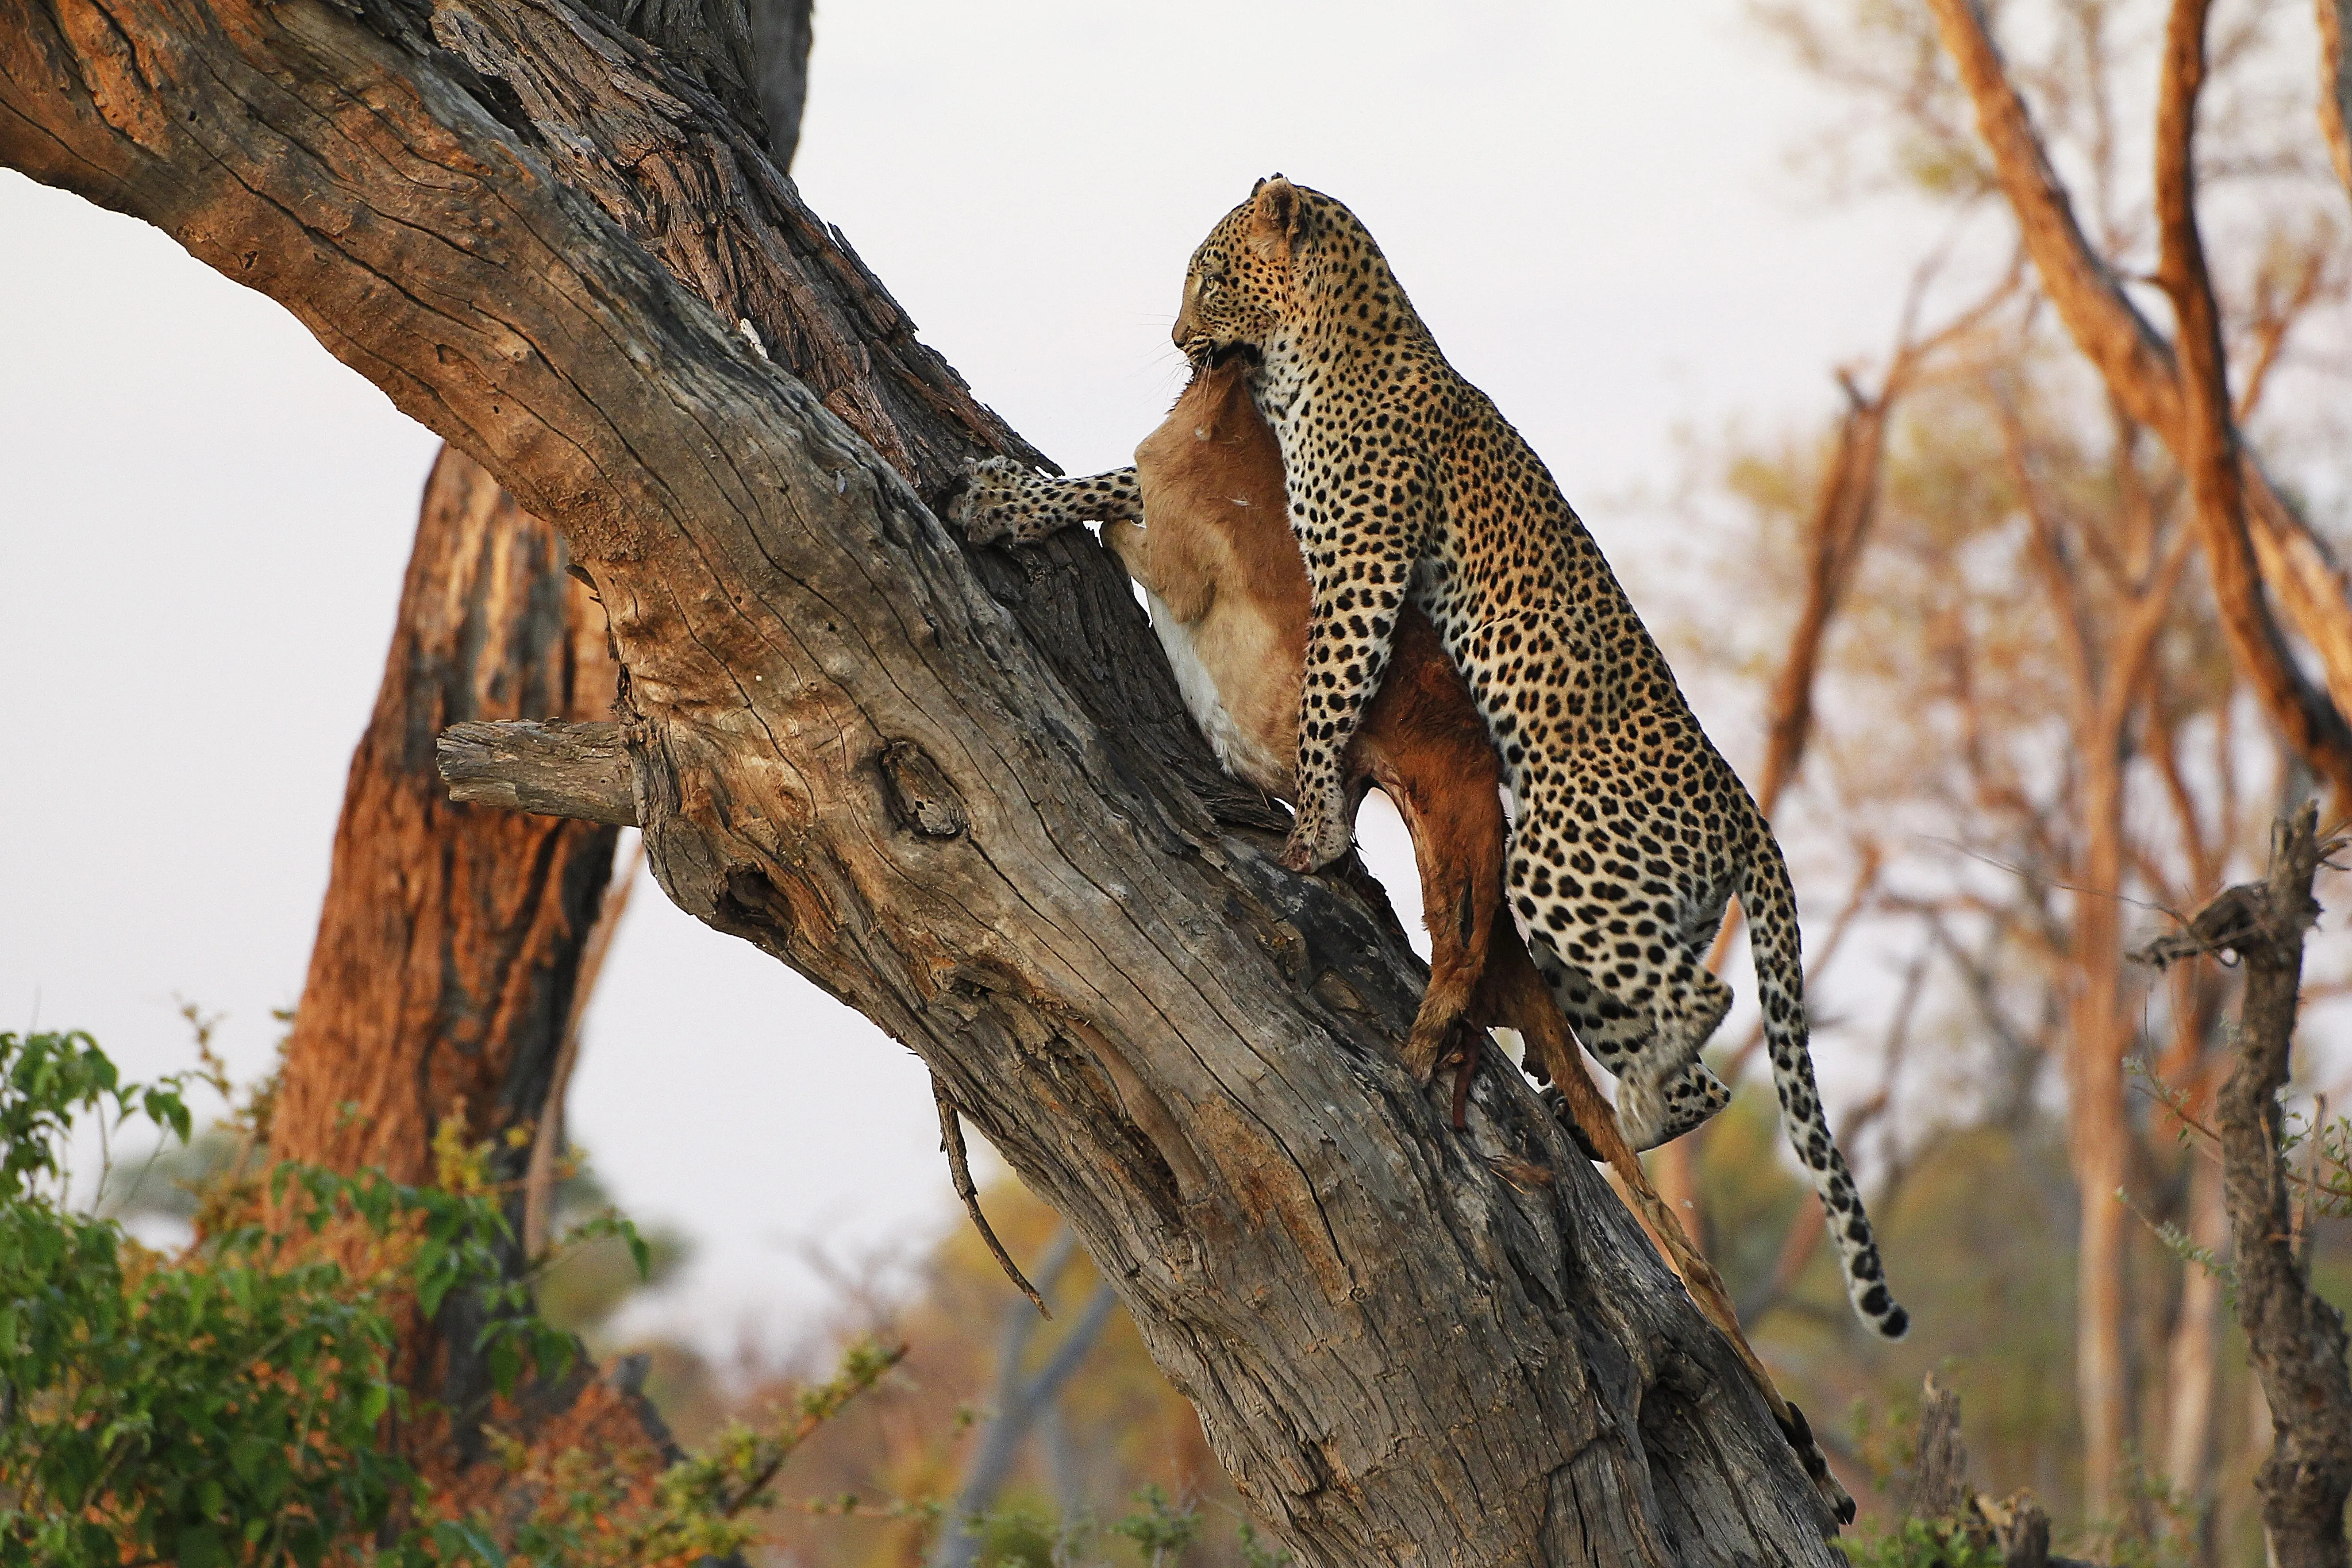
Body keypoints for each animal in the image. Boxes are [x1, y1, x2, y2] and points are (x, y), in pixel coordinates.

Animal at [1168, 175, 1906, 1340]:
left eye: (1205, 270)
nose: (1173, 337)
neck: (1325, 345)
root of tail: (1749, 817)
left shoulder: (1358, 577)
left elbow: (1325, 703)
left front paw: (1311, 834)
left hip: (1562, 874)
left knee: (1709, 1009)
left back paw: (1626, 1101)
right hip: (1602, 928)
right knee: (1704, 1078)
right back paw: (1588, 1112)